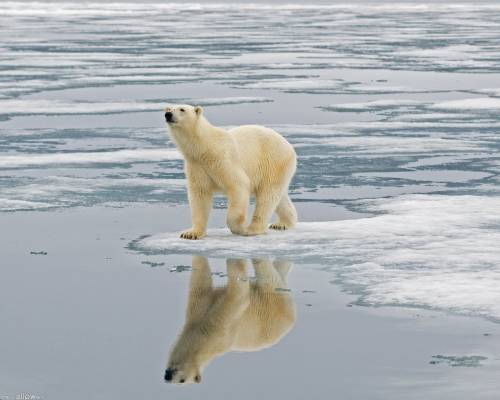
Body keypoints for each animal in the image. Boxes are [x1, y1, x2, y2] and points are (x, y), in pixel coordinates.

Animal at [164, 104, 296, 239]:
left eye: (182, 109)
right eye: (169, 109)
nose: (168, 115)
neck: (204, 147)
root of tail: (289, 147)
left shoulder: (222, 159)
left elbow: (239, 185)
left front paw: (239, 228)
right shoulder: (196, 165)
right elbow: (200, 195)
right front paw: (191, 233)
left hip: (273, 162)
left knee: (267, 196)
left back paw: (253, 229)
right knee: (278, 197)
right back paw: (282, 224)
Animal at [164, 256, 296, 384]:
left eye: (182, 380)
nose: (168, 376)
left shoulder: (221, 327)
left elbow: (239, 295)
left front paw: (233, 261)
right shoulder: (198, 310)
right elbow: (201, 279)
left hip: (272, 307)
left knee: (268, 277)